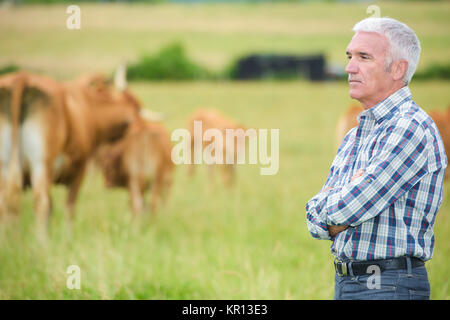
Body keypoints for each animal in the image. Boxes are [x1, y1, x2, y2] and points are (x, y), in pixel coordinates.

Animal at [0, 69, 140, 230]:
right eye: (136, 106)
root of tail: (21, 77)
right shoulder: (79, 170)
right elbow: (69, 208)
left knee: (6, 204)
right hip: (42, 163)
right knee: (41, 203)